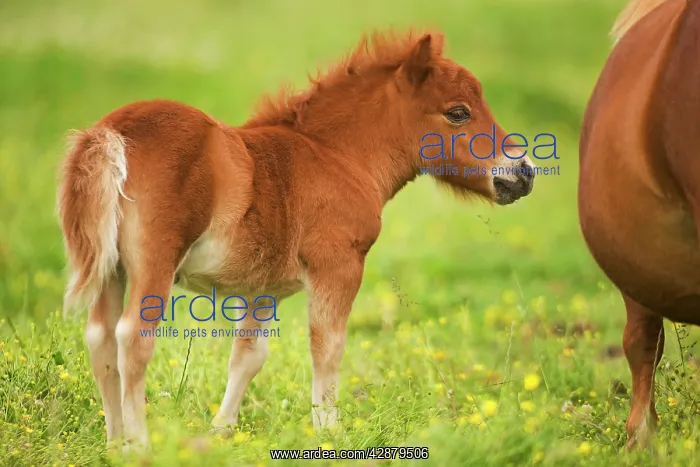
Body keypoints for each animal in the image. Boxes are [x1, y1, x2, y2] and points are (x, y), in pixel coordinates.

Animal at [57, 29, 536, 451]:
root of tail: (111, 133)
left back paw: (114, 443)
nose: (524, 172)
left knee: (100, 338)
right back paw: (139, 445)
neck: (334, 155)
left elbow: (248, 355)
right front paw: (330, 432)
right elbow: (328, 346)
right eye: (458, 112)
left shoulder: (260, 288)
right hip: (154, 260)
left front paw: (222, 432)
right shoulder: (337, 265)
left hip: (112, 270)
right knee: (133, 338)